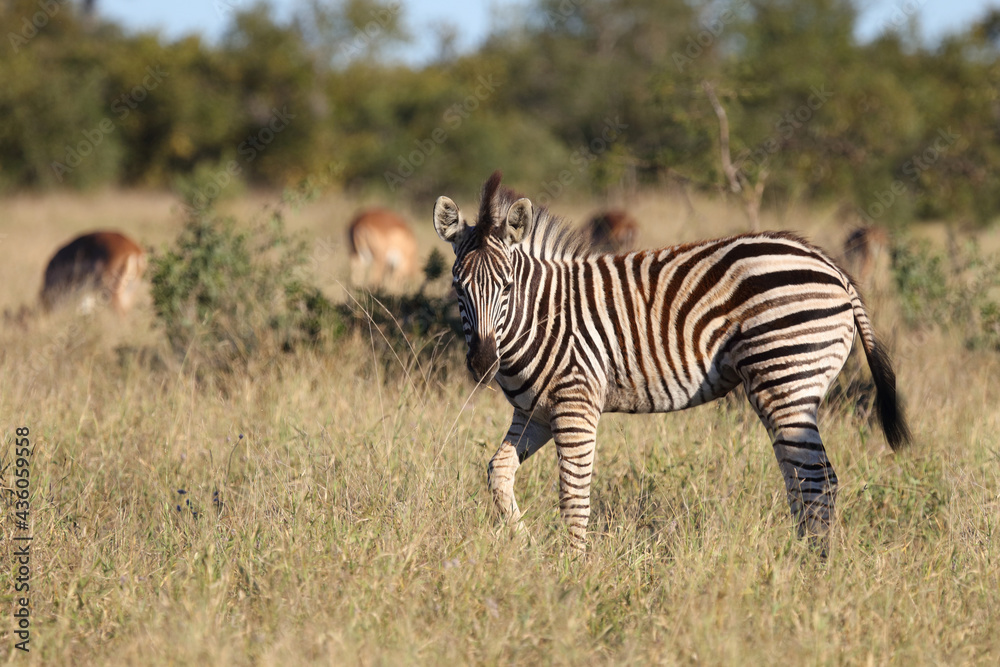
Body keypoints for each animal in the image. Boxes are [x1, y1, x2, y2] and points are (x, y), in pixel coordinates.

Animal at [433, 171, 910, 551]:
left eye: (507, 285)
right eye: (458, 286)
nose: (483, 364)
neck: (538, 317)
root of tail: (831, 266)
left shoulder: (576, 404)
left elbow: (573, 495)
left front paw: (572, 568)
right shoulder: (536, 413)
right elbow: (498, 472)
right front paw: (525, 544)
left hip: (785, 378)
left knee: (816, 481)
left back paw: (814, 568)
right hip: (786, 386)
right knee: (801, 479)